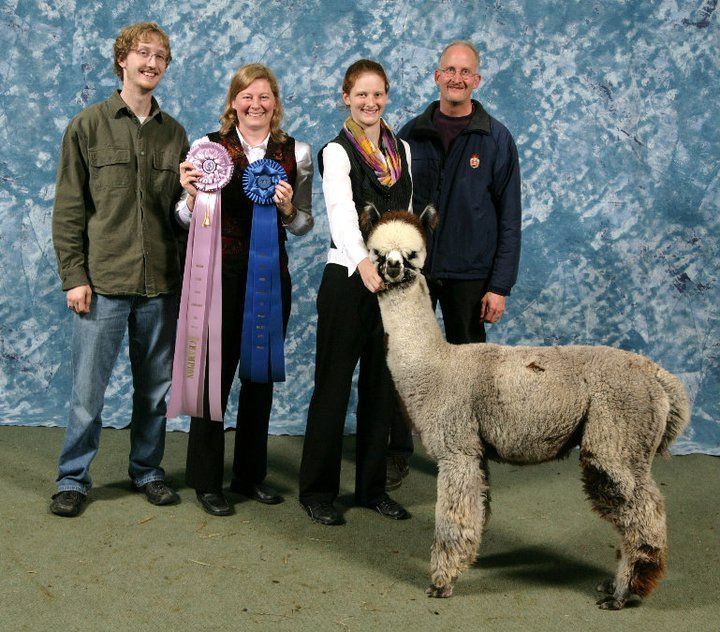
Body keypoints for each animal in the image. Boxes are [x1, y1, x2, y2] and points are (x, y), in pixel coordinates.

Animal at [363, 207, 690, 610]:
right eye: (377, 252)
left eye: (412, 255)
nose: (393, 268)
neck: (437, 366)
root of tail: (658, 376)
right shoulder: (476, 450)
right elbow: (478, 507)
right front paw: (468, 558)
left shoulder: (456, 449)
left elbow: (452, 517)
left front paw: (442, 581)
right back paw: (615, 585)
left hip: (618, 435)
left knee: (641, 509)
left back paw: (623, 594)